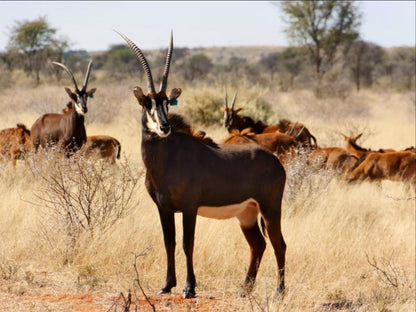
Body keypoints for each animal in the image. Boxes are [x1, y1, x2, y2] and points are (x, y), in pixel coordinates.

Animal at [117, 29, 286, 300]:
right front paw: (167, 285)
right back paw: (245, 289)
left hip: (270, 208)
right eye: (147, 103)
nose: (164, 127)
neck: (167, 159)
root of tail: (275, 161)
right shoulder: (163, 208)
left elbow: (188, 243)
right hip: (247, 213)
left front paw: (189, 288)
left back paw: (280, 292)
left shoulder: (189, 207)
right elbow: (169, 242)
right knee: (258, 244)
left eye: (167, 102)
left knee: (278, 243)